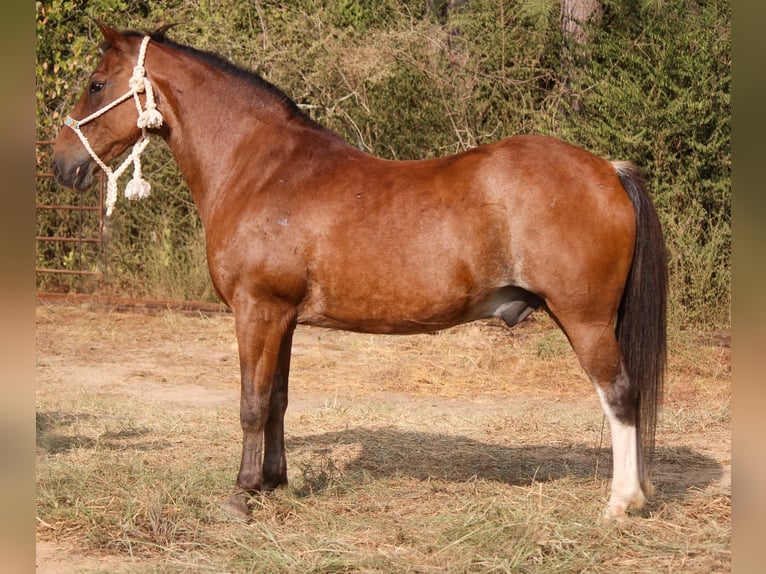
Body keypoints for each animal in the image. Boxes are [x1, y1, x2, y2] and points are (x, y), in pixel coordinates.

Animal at [52, 22, 664, 520]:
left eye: (97, 85)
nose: (62, 163)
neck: (261, 168)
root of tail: (607, 169)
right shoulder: (283, 319)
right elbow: (277, 400)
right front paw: (275, 482)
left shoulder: (256, 310)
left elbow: (251, 404)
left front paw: (241, 494)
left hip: (585, 320)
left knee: (620, 395)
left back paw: (622, 502)